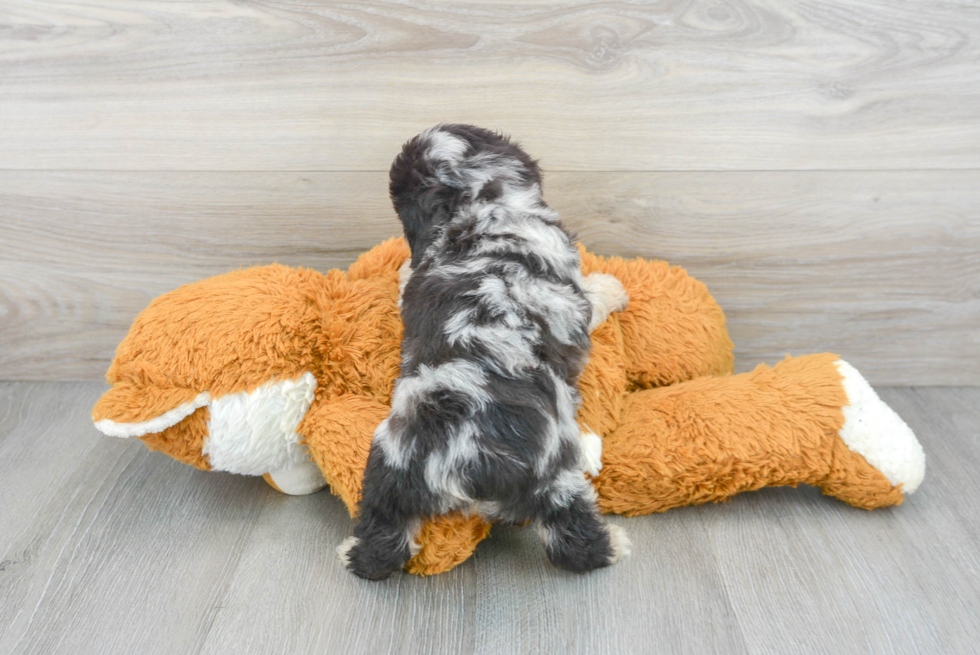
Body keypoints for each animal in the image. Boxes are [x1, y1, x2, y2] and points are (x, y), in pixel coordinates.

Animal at [336, 123, 632, 580]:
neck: (478, 207)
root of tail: (466, 468)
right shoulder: (572, 296)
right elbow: (593, 295)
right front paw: (614, 288)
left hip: (386, 465)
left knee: (382, 539)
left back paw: (352, 549)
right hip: (557, 477)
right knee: (575, 542)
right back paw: (615, 543)